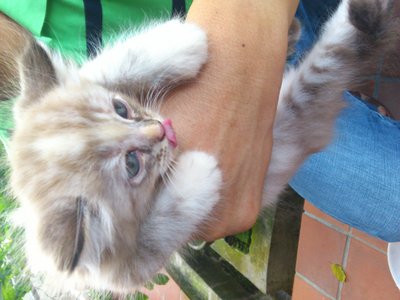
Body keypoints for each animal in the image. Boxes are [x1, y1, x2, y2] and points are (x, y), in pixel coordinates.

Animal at [6, 0, 396, 292]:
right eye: (132, 165)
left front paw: (181, 43)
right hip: (309, 93)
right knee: (343, 54)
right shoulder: (129, 268)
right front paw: (199, 173)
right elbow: (166, 222)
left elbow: (108, 65)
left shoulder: (84, 79)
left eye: (121, 108)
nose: (162, 129)